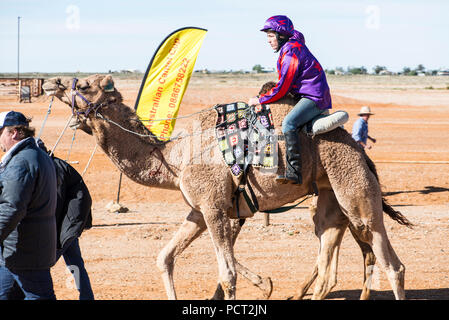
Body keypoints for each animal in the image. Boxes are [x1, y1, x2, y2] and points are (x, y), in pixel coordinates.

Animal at [43, 75, 412, 300]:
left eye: (85, 84)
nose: (50, 82)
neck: (173, 156)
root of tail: (360, 150)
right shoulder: (200, 210)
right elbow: (165, 257)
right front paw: (264, 284)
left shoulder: (216, 207)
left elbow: (228, 274)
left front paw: (263, 285)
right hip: (328, 197)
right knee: (327, 262)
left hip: (353, 188)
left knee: (391, 263)